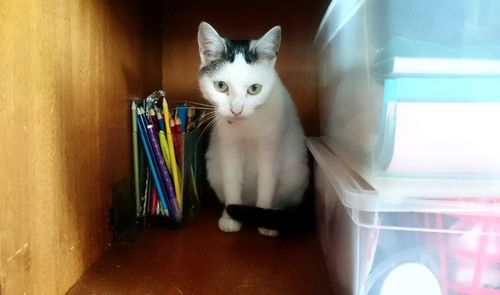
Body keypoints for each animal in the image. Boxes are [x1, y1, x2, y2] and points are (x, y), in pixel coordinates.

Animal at [196, 22, 308, 237]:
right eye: (221, 86)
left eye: (254, 89)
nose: (236, 110)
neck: (246, 126)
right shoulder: (228, 146)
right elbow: (232, 180)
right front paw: (230, 217)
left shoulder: (270, 148)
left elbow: (266, 182)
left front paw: (265, 219)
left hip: (295, 175)